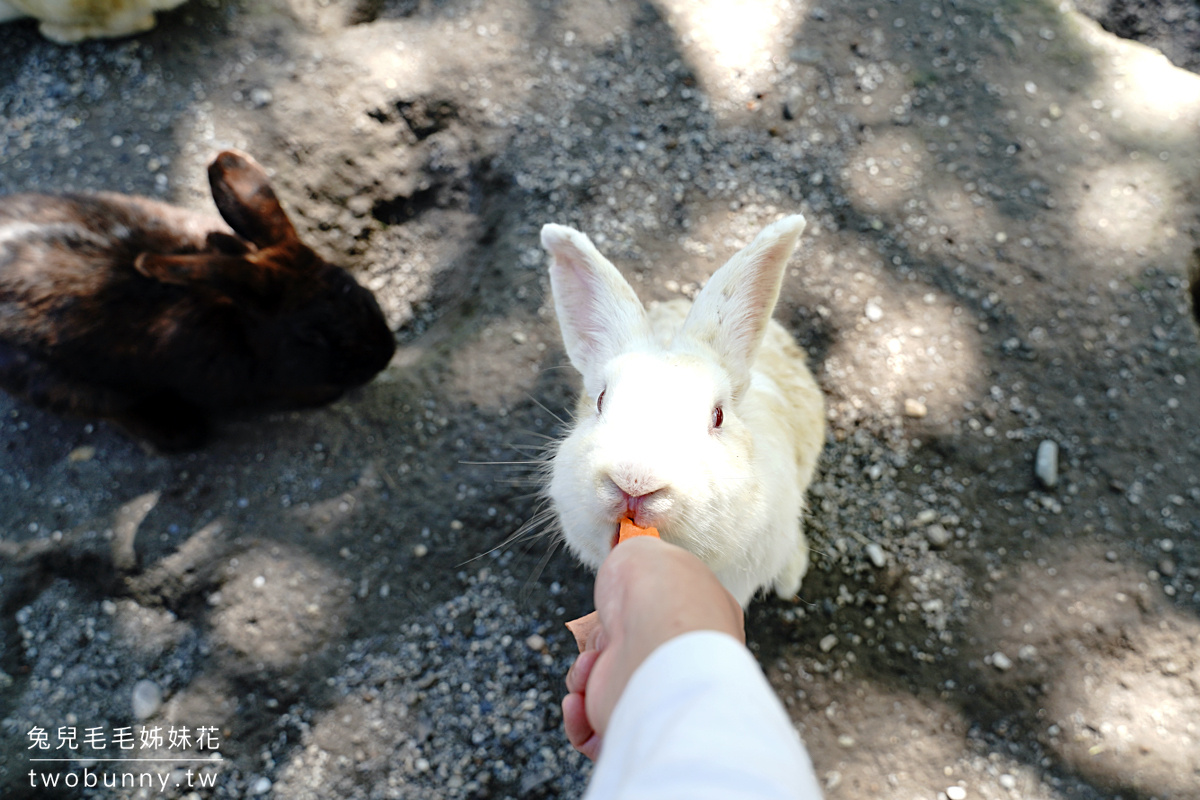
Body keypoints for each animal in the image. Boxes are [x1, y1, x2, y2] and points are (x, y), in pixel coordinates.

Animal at [0, 151, 396, 450]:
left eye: (357, 288)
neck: (237, 317)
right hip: (63, 384)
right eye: (311, 335)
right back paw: (178, 433)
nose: (385, 355)